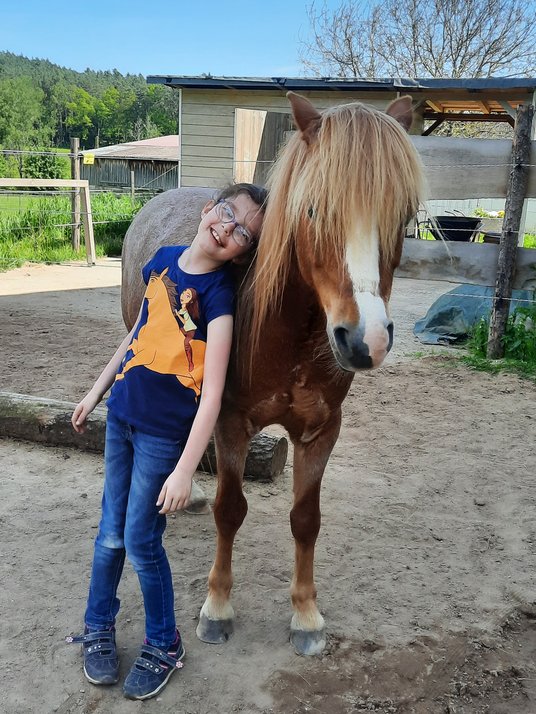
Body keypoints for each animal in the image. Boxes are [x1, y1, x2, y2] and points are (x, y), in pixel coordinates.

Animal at [121, 91, 424, 656]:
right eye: (313, 209)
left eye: (404, 215)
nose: (365, 341)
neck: (288, 336)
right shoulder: (232, 421)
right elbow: (230, 509)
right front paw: (217, 608)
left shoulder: (320, 431)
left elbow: (305, 519)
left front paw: (305, 615)